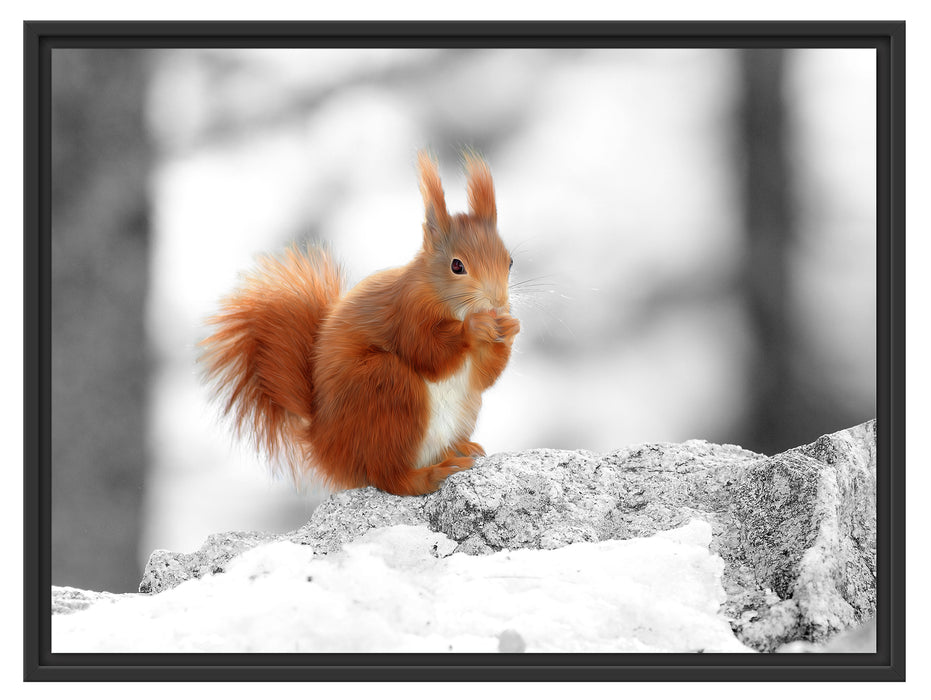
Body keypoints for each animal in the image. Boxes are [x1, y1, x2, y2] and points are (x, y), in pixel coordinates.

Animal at [200, 150, 520, 494]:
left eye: (509, 261)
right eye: (457, 266)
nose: (499, 302)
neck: (447, 302)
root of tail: (326, 447)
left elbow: (483, 377)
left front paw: (510, 328)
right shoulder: (407, 313)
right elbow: (427, 353)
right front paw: (474, 328)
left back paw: (459, 449)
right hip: (385, 389)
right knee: (389, 477)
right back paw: (431, 474)